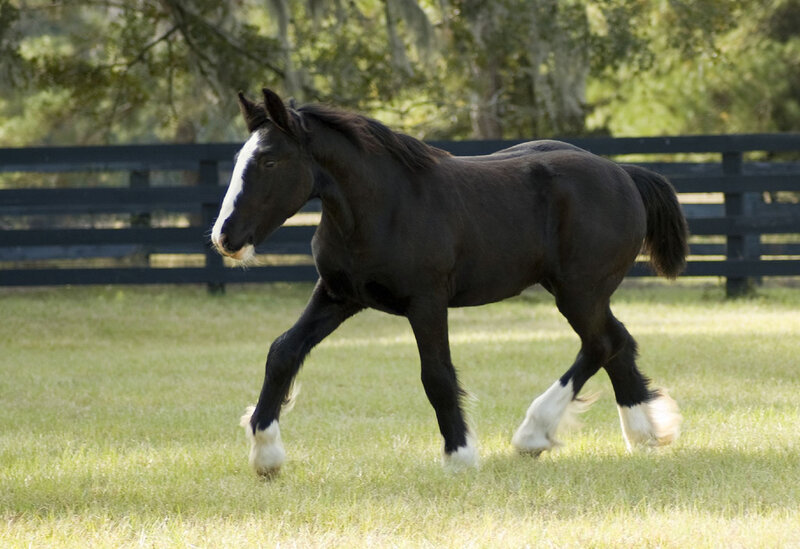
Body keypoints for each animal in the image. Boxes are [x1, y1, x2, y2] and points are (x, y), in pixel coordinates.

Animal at [211, 88, 689, 476]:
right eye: (238, 161)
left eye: (270, 160)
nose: (224, 238)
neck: (385, 207)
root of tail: (623, 173)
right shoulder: (337, 295)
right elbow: (283, 352)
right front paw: (266, 454)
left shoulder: (427, 301)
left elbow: (437, 375)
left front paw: (460, 456)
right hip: (579, 292)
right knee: (616, 341)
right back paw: (643, 434)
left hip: (579, 291)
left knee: (602, 343)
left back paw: (533, 434)